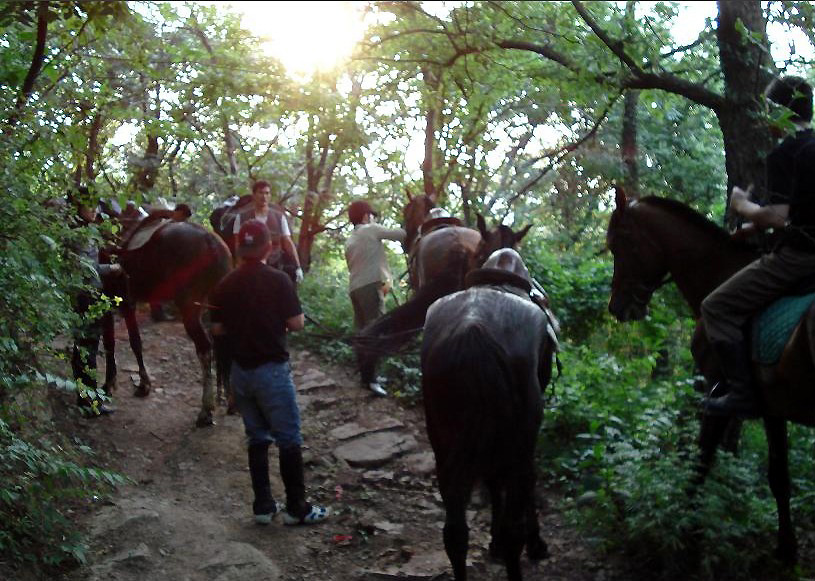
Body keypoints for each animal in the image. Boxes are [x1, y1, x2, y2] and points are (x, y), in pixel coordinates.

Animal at [420, 247, 556, 576]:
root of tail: (473, 334)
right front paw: (535, 543)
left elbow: (493, 483)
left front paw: (493, 542)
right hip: (518, 440)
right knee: (514, 528)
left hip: (443, 443)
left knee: (455, 533)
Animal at [604, 189, 815, 560]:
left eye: (620, 244)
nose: (617, 307)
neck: (719, 274)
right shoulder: (773, 408)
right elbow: (779, 476)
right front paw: (786, 548)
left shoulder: (719, 395)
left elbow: (700, 466)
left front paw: (688, 535)